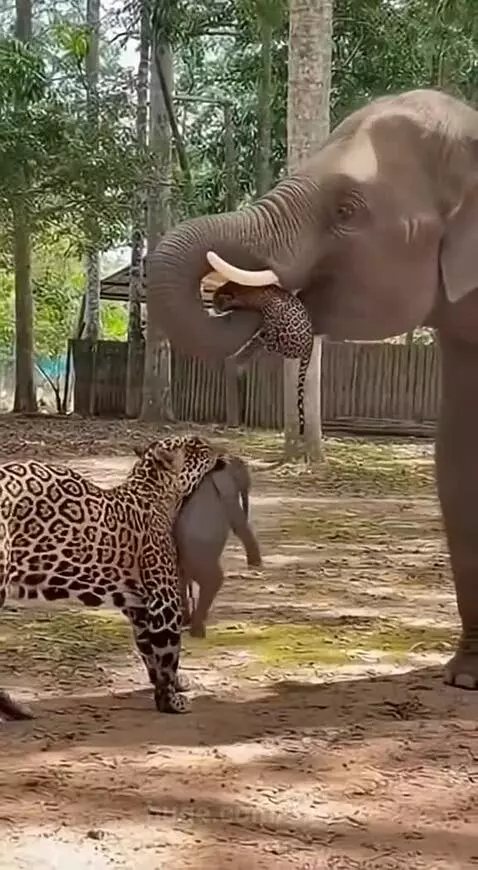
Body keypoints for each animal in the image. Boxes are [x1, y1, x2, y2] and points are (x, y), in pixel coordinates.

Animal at [0, 433, 226, 721]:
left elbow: (150, 652)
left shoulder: (139, 606)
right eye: (199, 445)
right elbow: (167, 654)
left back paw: (17, 709)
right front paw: (170, 701)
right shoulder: (164, 600)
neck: (160, 494)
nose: (223, 449)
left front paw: (174, 685)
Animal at [174, 455, 262, 637]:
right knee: (213, 581)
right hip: (200, 558)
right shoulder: (228, 494)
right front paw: (256, 564)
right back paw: (197, 631)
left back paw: (187, 623)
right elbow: (239, 525)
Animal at [213, 282, 314, 436]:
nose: (214, 308)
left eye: (217, 301)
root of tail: (310, 347)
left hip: (287, 334)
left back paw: (262, 337)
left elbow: (270, 332)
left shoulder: (274, 310)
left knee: (274, 345)